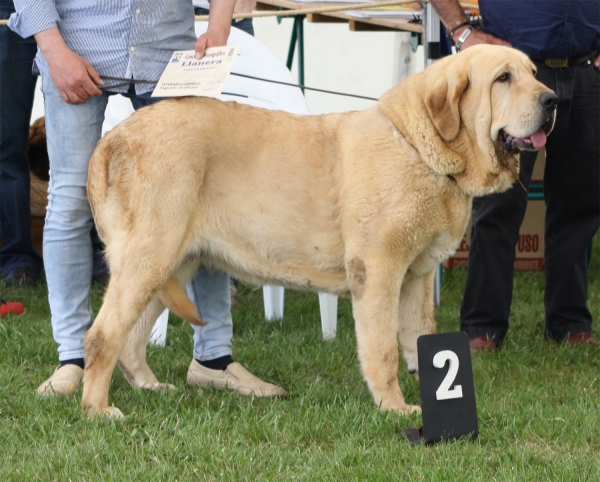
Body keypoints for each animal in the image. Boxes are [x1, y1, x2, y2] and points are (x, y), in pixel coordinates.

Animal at [82, 45, 556, 418]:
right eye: (503, 78)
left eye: (534, 73)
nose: (552, 99)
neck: (422, 148)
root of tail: (112, 139)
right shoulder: (379, 272)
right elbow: (383, 349)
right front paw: (394, 407)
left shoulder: (417, 277)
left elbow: (420, 337)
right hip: (150, 256)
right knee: (103, 336)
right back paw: (98, 409)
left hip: (172, 266)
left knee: (131, 339)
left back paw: (150, 387)